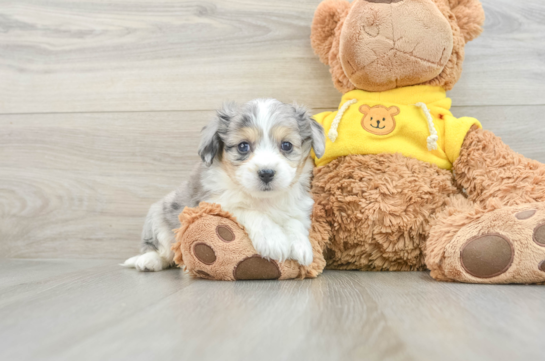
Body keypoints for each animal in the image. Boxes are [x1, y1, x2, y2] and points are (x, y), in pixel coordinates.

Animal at [123, 97, 324, 270]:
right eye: (243, 146)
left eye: (287, 145)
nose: (266, 173)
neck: (264, 199)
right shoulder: (215, 203)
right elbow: (253, 213)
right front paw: (273, 240)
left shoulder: (298, 205)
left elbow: (295, 222)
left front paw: (301, 245)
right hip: (158, 216)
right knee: (161, 250)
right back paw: (148, 260)